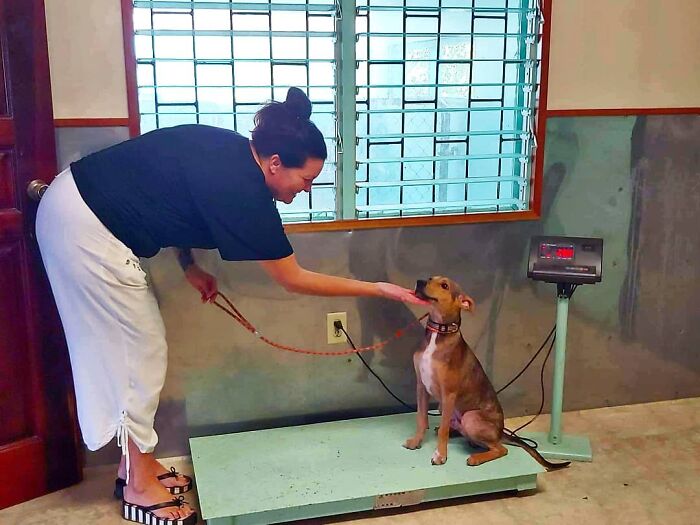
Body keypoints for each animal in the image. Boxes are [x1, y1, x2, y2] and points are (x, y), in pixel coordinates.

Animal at [404, 276, 568, 468]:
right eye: (430, 278)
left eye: (444, 285)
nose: (420, 281)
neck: (438, 333)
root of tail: (500, 431)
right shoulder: (421, 386)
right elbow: (421, 419)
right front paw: (416, 441)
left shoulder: (449, 394)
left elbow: (443, 430)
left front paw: (441, 455)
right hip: (447, 410)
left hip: (470, 418)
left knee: (501, 449)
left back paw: (476, 457)